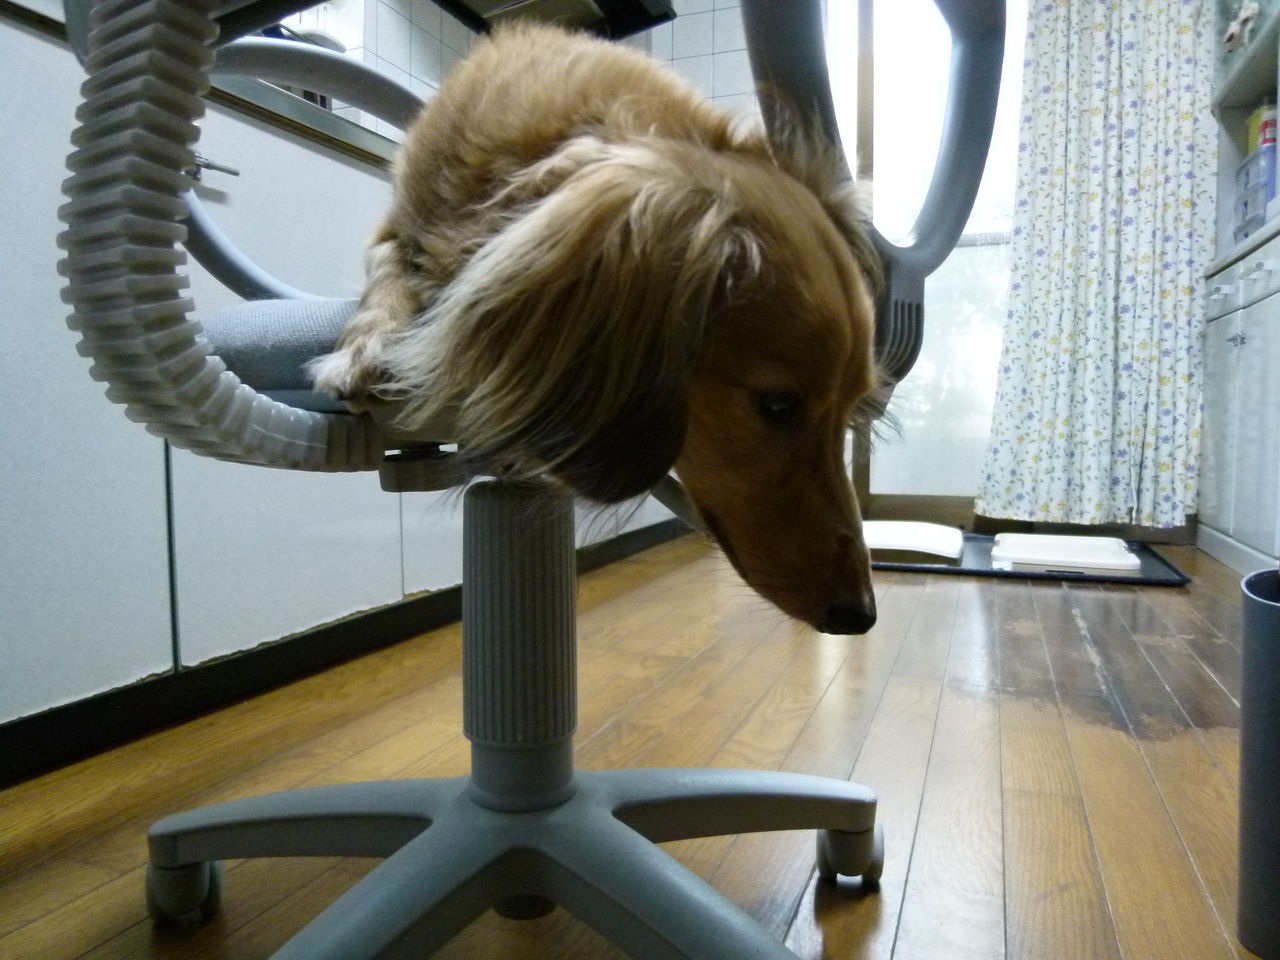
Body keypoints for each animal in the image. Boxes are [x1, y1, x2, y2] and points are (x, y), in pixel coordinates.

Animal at [308, 22, 885, 635]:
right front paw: (367, 349)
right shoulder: (397, 225)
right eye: (776, 405)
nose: (862, 615)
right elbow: (387, 265)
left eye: (851, 411)